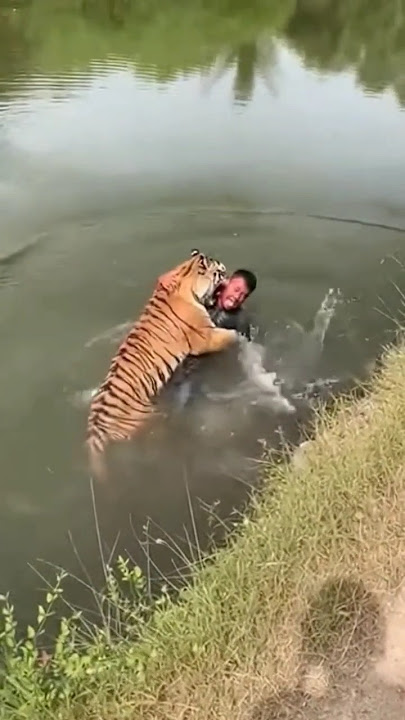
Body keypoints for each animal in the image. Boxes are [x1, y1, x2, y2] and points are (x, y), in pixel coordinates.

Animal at [86, 249, 238, 483]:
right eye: (220, 272)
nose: (228, 275)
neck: (185, 278)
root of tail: (96, 425)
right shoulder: (204, 337)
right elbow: (227, 336)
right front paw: (237, 337)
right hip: (146, 420)